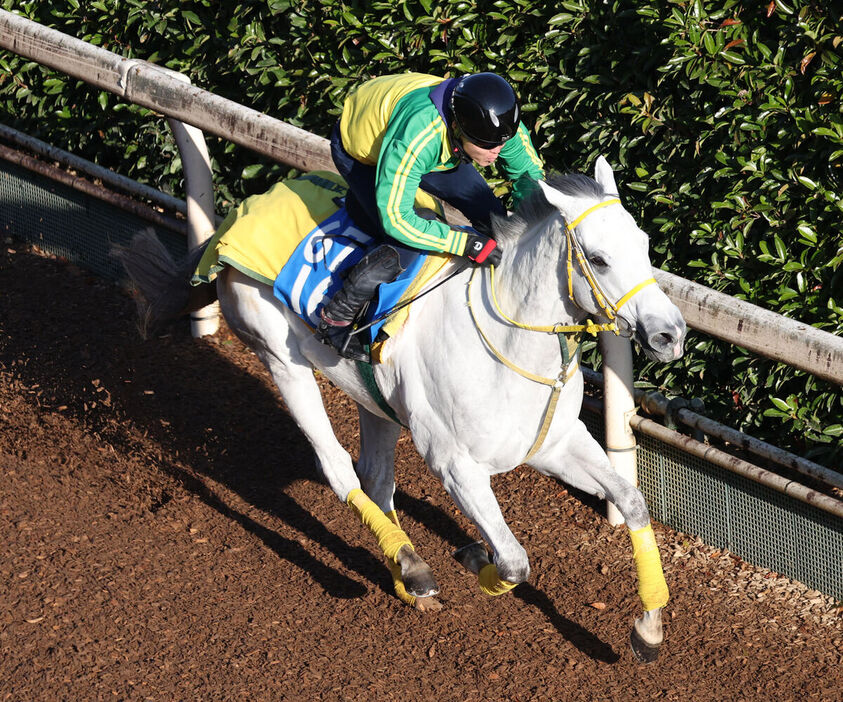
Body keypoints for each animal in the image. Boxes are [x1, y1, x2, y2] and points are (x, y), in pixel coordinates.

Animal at [115, 157, 688, 664]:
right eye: (600, 258)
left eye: (644, 244)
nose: (671, 334)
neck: (505, 346)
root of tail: (238, 215)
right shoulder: (455, 466)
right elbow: (515, 562)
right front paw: (475, 557)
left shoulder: (554, 445)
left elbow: (631, 501)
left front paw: (649, 629)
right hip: (279, 358)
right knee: (338, 467)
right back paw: (412, 568)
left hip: (376, 400)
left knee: (375, 477)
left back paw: (402, 567)